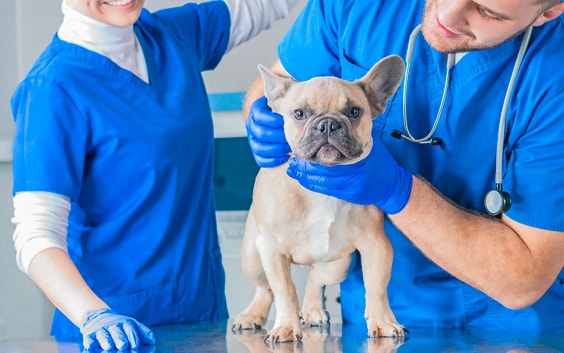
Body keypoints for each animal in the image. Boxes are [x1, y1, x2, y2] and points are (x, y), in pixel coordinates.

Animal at [232, 55, 406, 340]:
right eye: (299, 114)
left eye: (354, 112)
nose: (328, 124)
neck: (323, 182)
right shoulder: (272, 249)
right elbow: (284, 290)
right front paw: (286, 326)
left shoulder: (376, 245)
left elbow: (377, 287)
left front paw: (382, 321)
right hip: (253, 257)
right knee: (265, 287)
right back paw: (253, 314)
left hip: (339, 264)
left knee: (316, 277)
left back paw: (313, 310)